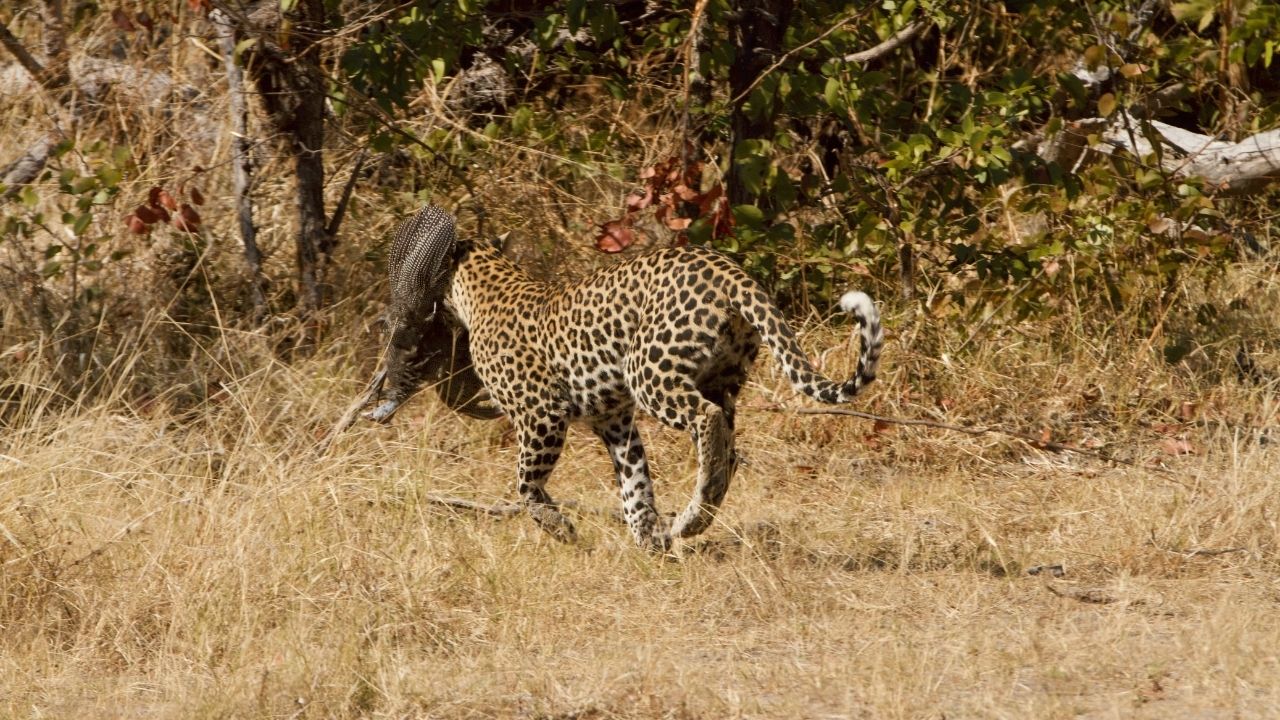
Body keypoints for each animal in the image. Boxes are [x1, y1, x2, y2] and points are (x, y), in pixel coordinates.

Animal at [369, 205, 884, 552]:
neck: (487, 284)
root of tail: (731, 271)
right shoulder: (614, 421)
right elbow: (635, 483)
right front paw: (647, 536)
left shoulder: (542, 415)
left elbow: (525, 483)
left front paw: (560, 528)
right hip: (721, 378)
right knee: (729, 445)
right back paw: (694, 516)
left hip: (649, 372)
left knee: (708, 422)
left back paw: (693, 514)